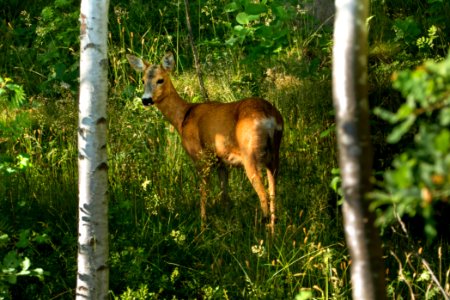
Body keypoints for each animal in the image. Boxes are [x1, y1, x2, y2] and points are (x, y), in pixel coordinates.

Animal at [125, 52, 284, 232]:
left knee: (263, 194)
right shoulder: (221, 160)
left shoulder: (200, 156)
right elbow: (224, 193)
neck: (183, 117)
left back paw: (262, 232)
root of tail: (270, 117)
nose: (146, 100)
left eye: (160, 80)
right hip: (274, 155)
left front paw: (202, 226)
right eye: (143, 80)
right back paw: (273, 230)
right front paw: (226, 221)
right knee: (273, 192)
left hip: (250, 154)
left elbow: (203, 192)